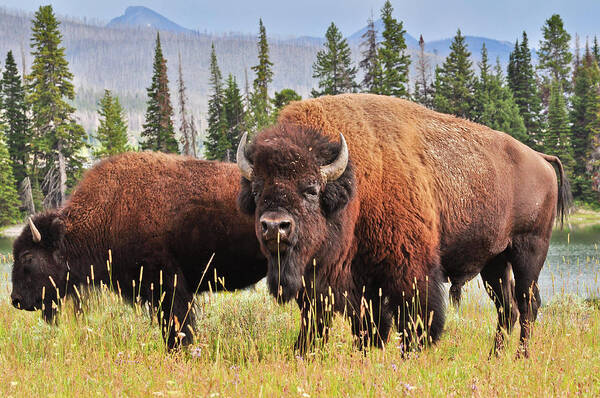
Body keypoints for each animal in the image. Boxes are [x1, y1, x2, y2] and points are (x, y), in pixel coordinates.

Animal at [237, 94, 568, 358]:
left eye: (310, 188)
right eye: (257, 189)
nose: (275, 227)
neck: (356, 182)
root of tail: (538, 157)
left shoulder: (406, 268)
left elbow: (415, 316)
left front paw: (410, 353)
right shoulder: (339, 281)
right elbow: (353, 323)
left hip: (529, 251)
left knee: (527, 304)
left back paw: (520, 357)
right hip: (495, 262)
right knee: (507, 308)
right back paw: (494, 356)